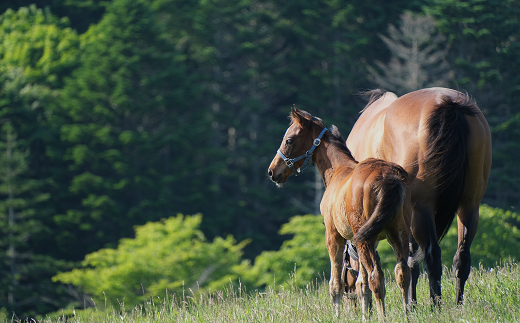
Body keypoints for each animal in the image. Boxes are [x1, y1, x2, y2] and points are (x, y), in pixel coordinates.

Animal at [270, 108, 412, 318]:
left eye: (289, 140)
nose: (272, 171)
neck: (338, 170)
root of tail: (388, 178)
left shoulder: (333, 235)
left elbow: (336, 285)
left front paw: (337, 315)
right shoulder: (357, 241)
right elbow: (361, 285)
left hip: (366, 239)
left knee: (376, 277)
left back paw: (383, 317)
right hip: (397, 233)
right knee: (402, 272)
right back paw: (408, 314)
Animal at [346, 87, 492, 306]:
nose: (350, 298)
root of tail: (447, 103)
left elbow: (409, 260)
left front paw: (410, 304)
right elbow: (411, 261)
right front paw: (411, 302)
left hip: (422, 208)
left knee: (432, 257)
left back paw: (436, 306)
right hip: (469, 206)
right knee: (462, 257)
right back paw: (458, 306)